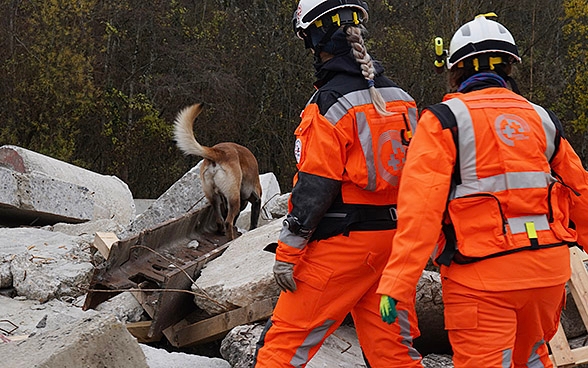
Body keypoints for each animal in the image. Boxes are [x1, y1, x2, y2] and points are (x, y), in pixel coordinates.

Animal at [173, 102, 262, 240]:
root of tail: (218, 153)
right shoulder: (254, 197)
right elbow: (253, 217)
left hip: (212, 196)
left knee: (219, 218)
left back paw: (221, 230)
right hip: (233, 198)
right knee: (228, 221)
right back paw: (231, 237)